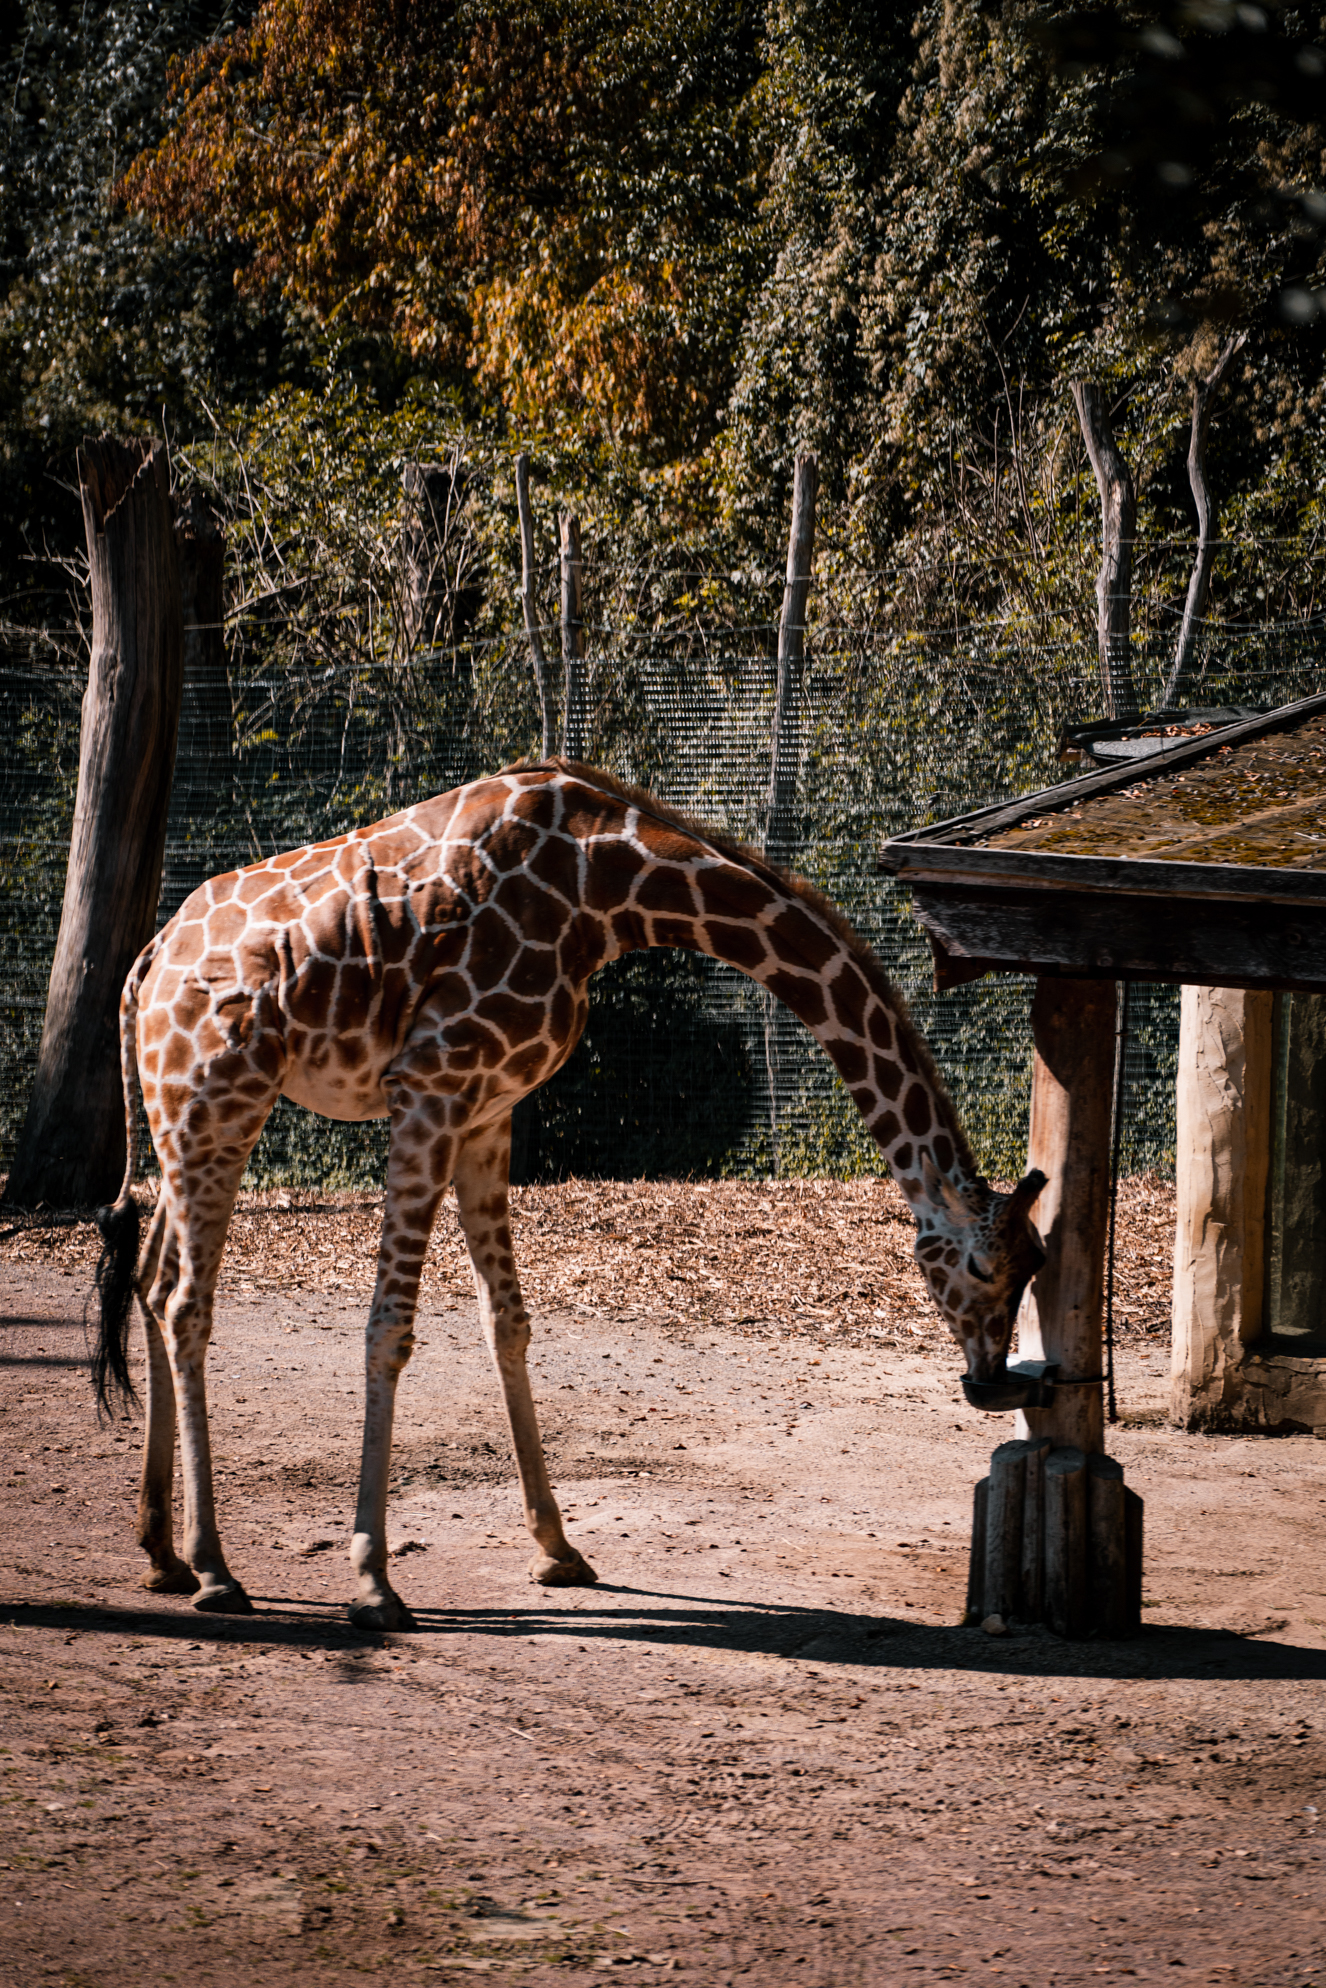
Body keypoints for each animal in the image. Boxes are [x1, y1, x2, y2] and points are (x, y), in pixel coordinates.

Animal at [93, 759, 1047, 1631]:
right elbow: (389, 1329)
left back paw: (160, 1552)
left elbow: (507, 1322)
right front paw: (373, 1582)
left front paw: (558, 1549)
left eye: (1033, 1264)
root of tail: (146, 965)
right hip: (218, 1099)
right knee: (185, 1303)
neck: (608, 889)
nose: (992, 1387)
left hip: (187, 1118)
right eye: (987, 1268)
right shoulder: (430, 1086)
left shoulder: (489, 1110)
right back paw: (216, 1570)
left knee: (149, 1276)